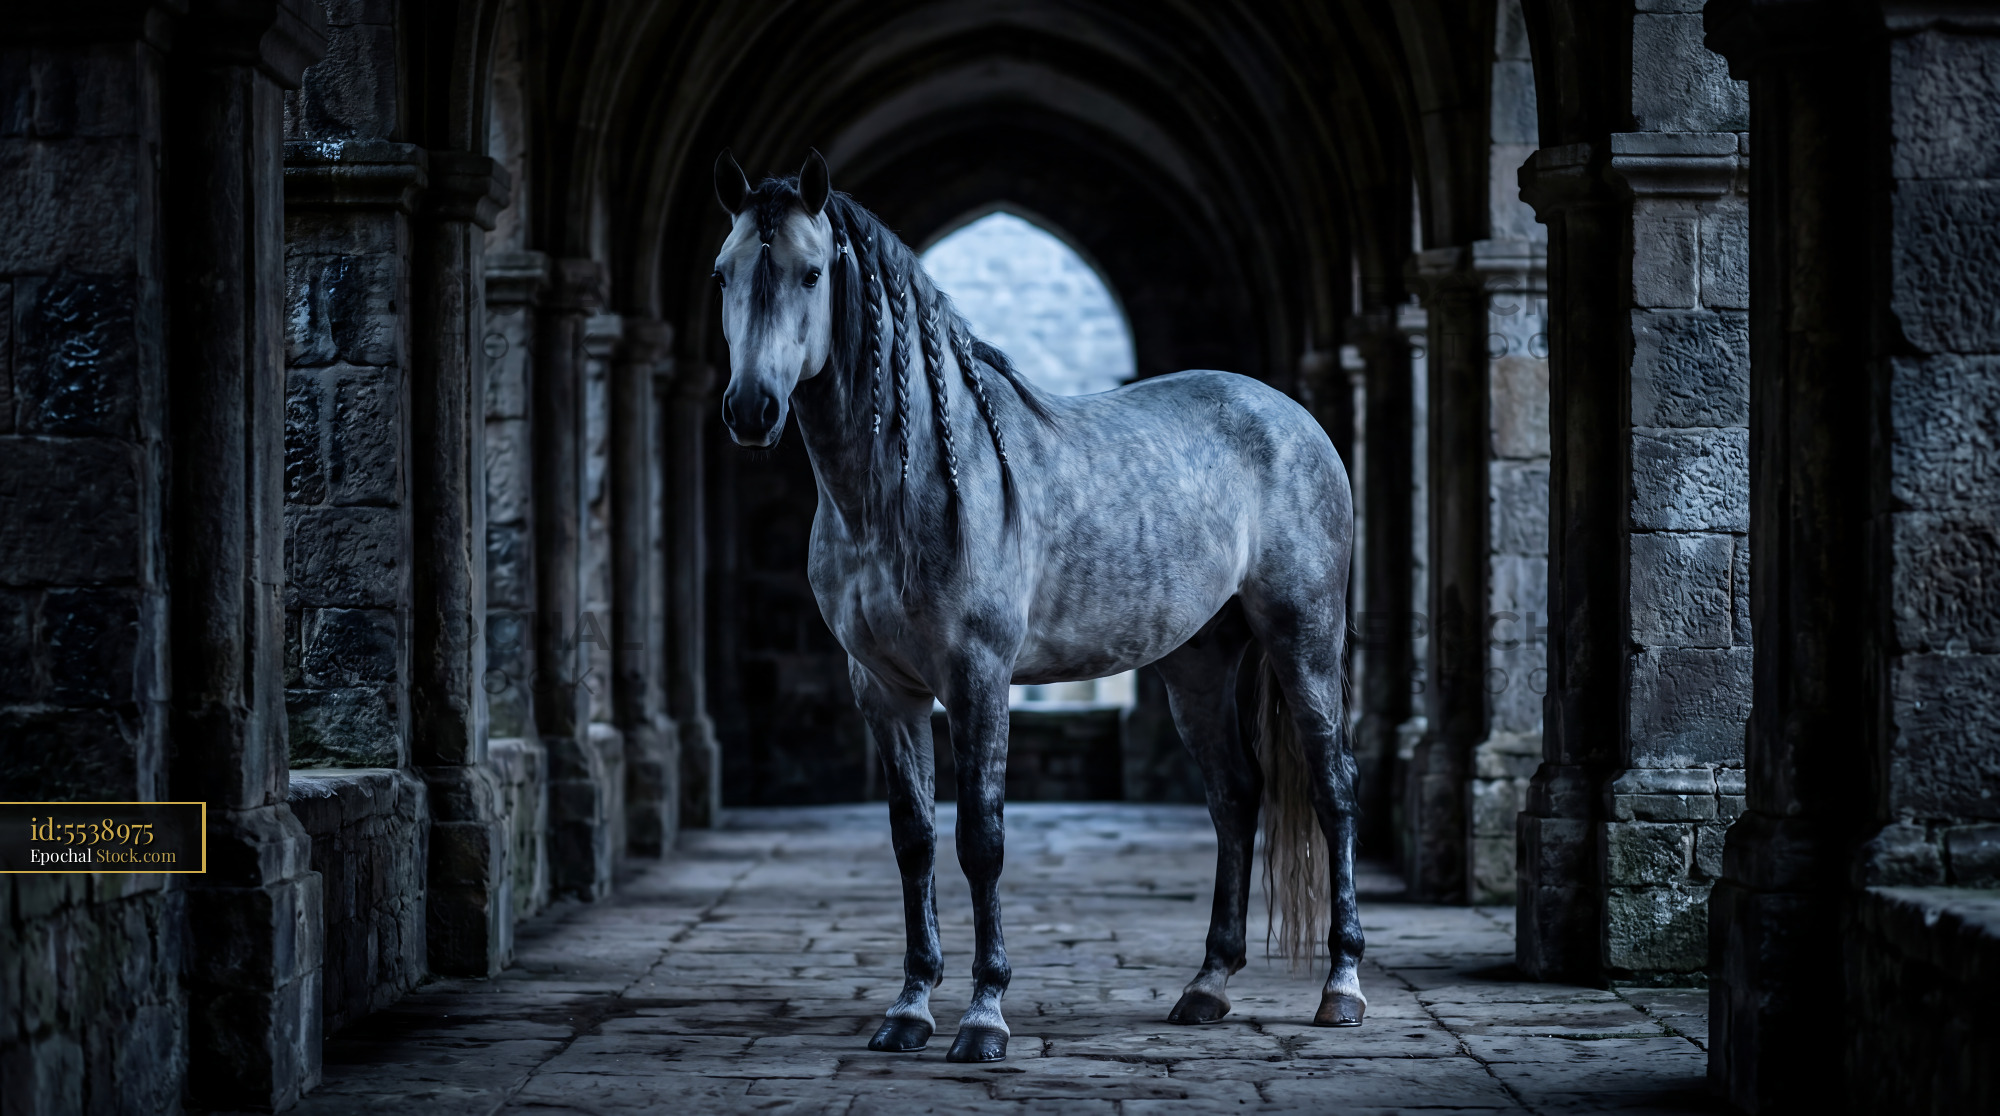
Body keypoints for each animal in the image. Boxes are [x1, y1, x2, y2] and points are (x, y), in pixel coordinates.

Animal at [708, 149, 1364, 1064]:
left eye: (811, 272)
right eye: (722, 274)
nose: (750, 409)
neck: (903, 485)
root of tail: (1293, 417)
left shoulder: (978, 676)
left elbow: (981, 840)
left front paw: (984, 1015)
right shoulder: (882, 687)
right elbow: (913, 839)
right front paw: (909, 1007)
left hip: (1304, 637)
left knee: (1333, 790)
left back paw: (1342, 987)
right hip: (1198, 662)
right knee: (1236, 797)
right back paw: (1206, 986)